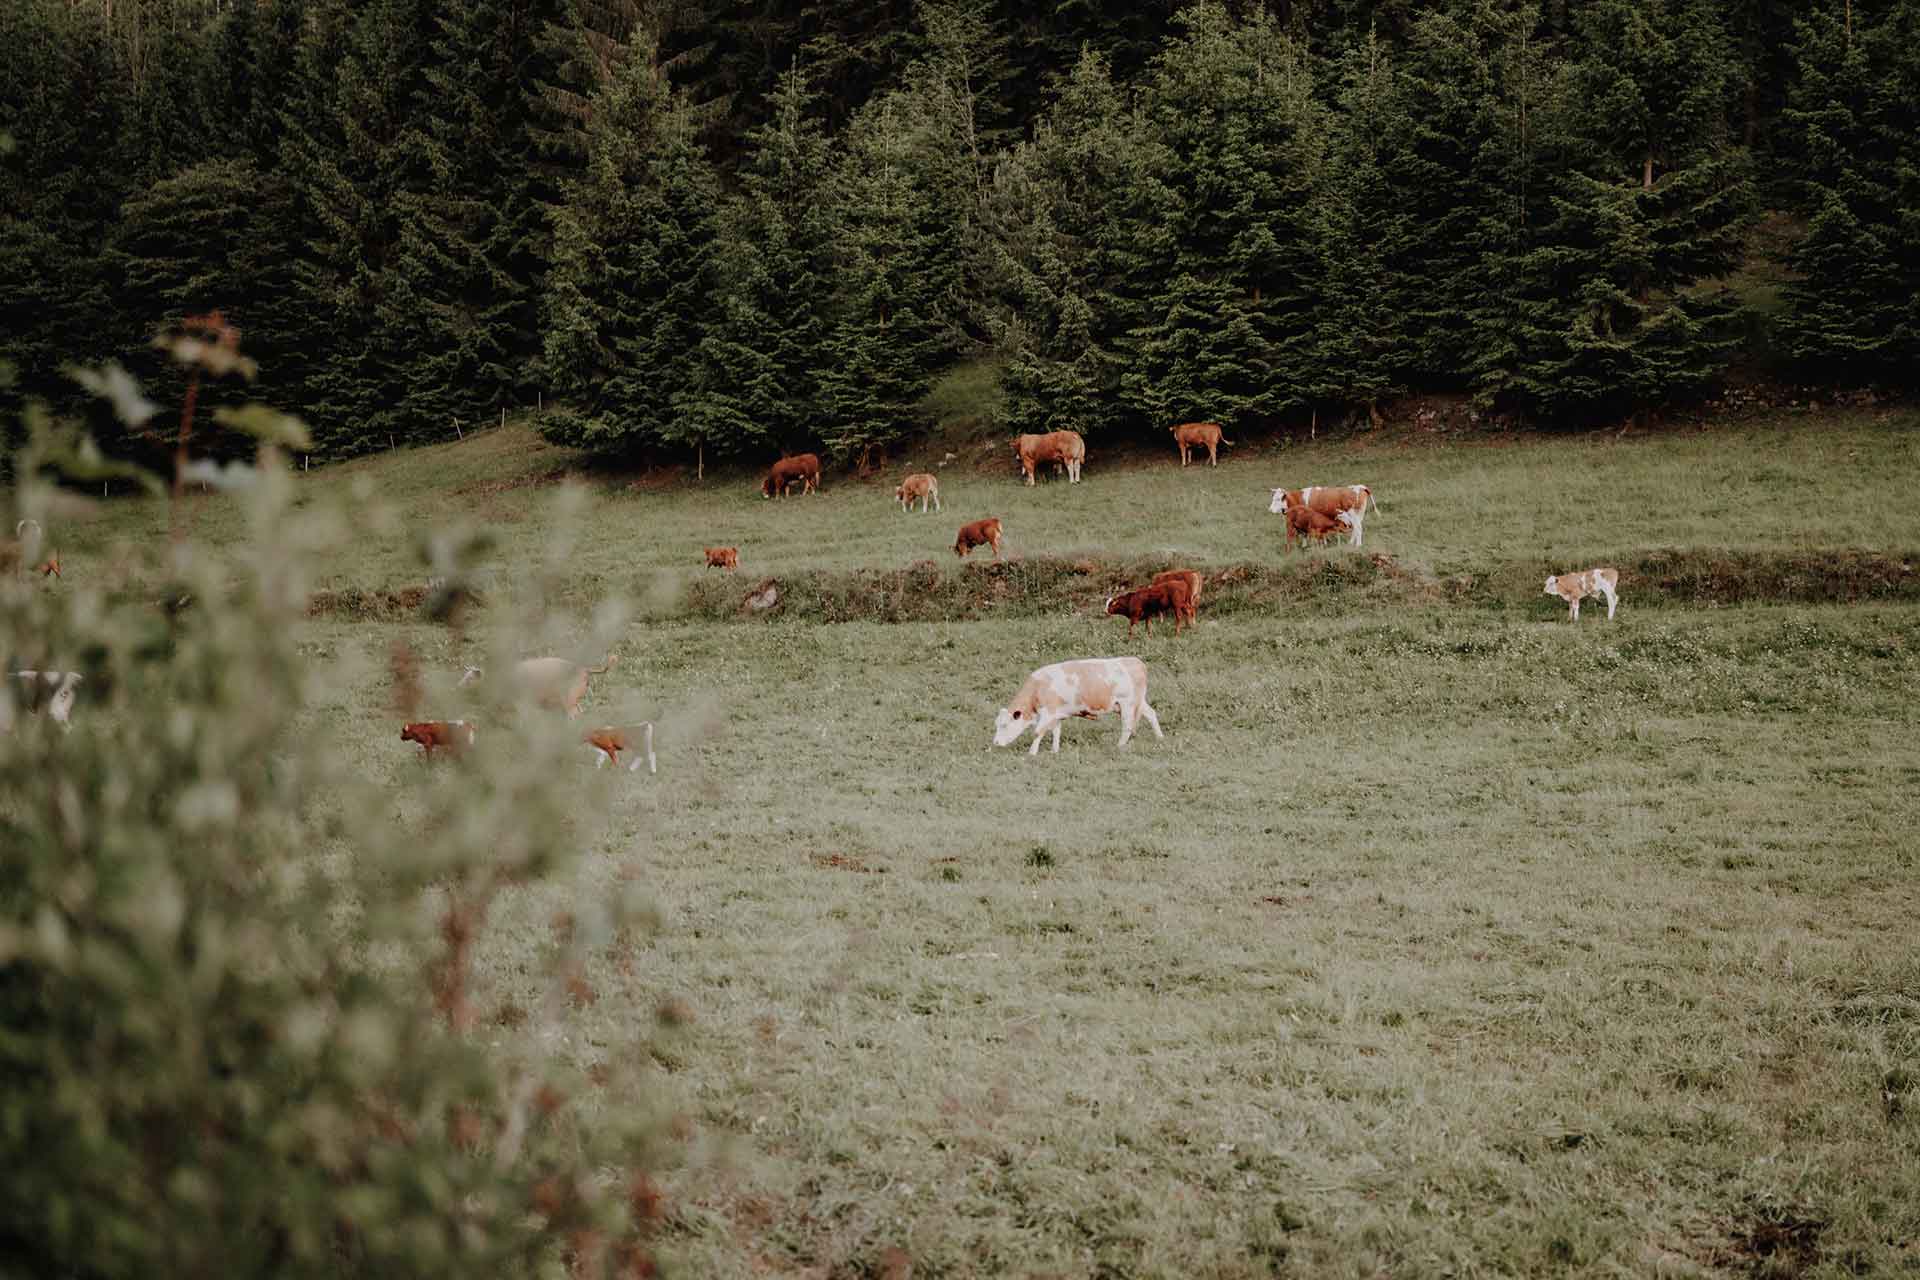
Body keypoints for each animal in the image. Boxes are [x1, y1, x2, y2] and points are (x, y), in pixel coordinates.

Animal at [998, 656, 1159, 756]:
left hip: (1127, 704)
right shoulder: (1056, 714)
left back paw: (1119, 746)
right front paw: (1054, 751)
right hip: (1139, 702)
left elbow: (1038, 732)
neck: (1037, 687)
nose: (996, 742)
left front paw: (1032, 753)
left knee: (1127, 726)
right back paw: (1160, 738)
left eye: (1004, 725)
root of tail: (1134, 661)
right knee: (1151, 713)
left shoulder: (1048, 712)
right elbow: (1056, 731)